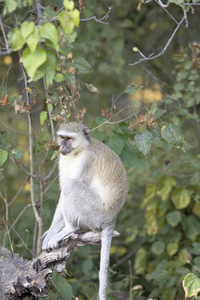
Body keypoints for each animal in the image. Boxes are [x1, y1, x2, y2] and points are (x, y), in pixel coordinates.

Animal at [41, 121, 127, 300]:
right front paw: (51, 231)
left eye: (69, 139)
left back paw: (70, 228)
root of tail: (112, 219)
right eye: (62, 137)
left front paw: (57, 232)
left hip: (96, 214)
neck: (78, 150)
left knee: (71, 186)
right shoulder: (63, 158)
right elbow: (62, 194)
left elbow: (67, 188)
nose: (62, 146)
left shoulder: (86, 160)